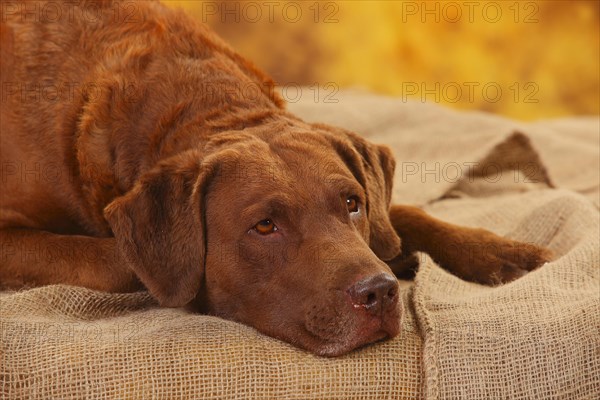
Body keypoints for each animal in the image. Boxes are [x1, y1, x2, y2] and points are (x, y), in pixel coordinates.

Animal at [0, 0, 552, 356]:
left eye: (351, 203)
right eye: (265, 226)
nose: (379, 291)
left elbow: (401, 215)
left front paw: (506, 253)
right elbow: (123, 261)